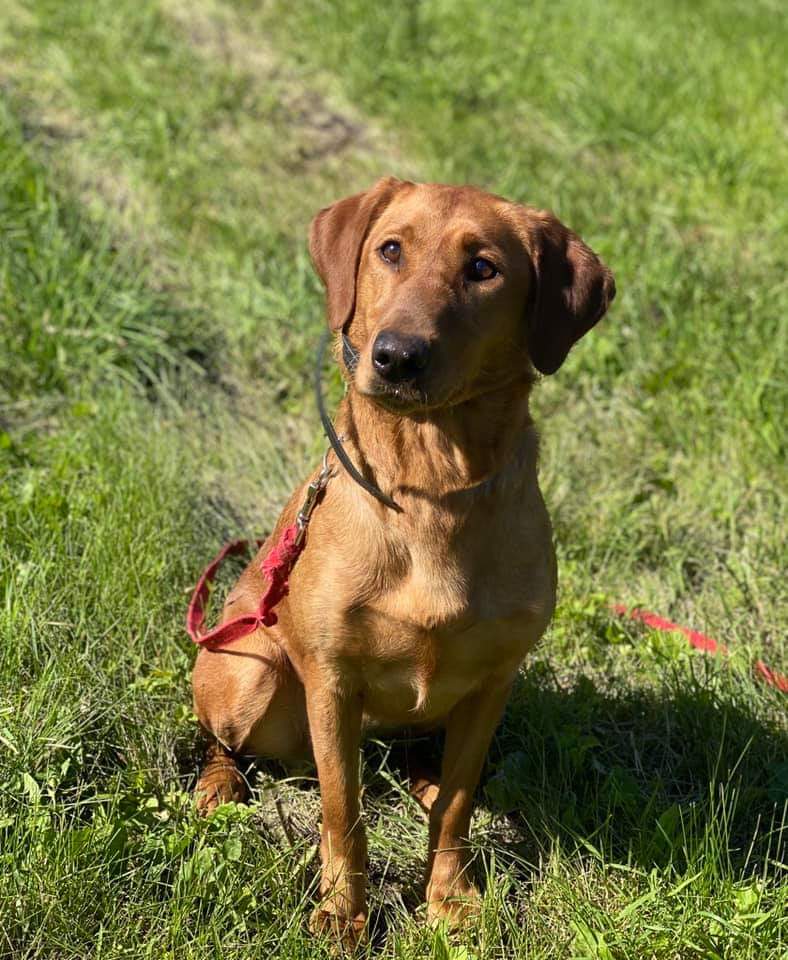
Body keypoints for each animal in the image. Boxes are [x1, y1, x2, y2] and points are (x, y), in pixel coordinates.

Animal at [191, 176, 616, 940]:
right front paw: (344, 912)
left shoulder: (492, 684)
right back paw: (218, 784)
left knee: (427, 767)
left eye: (483, 268)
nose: (396, 356)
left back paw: (421, 780)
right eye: (390, 250)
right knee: (229, 741)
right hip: (251, 672)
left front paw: (449, 899)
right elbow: (343, 811)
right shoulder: (332, 683)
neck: (431, 486)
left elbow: (457, 806)